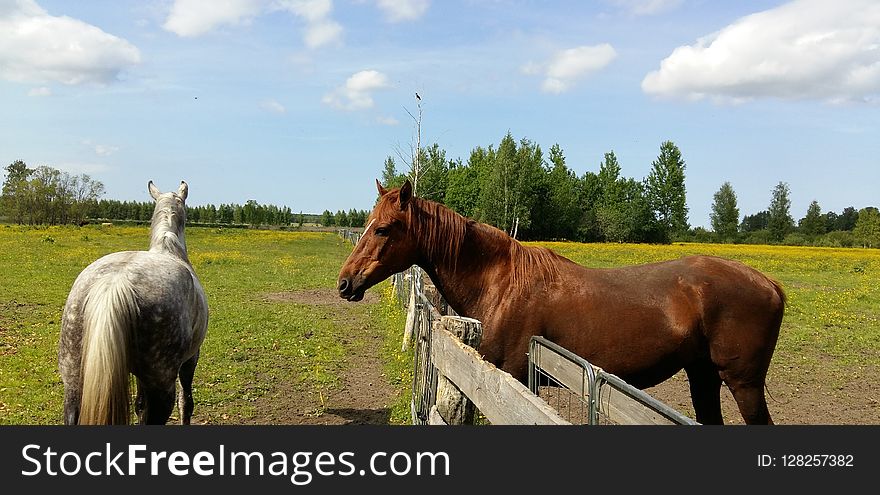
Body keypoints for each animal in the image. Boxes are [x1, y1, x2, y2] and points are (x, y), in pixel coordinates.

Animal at [58, 182, 210, 426]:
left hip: (72, 381)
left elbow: (140, 406)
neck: (169, 246)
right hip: (162, 384)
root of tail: (115, 283)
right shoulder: (191, 359)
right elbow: (186, 403)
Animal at [336, 180, 784, 424]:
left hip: (743, 383)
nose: (344, 283)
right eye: (367, 225)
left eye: (383, 228)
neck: (499, 282)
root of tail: (769, 284)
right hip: (703, 376)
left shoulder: (513, 376)